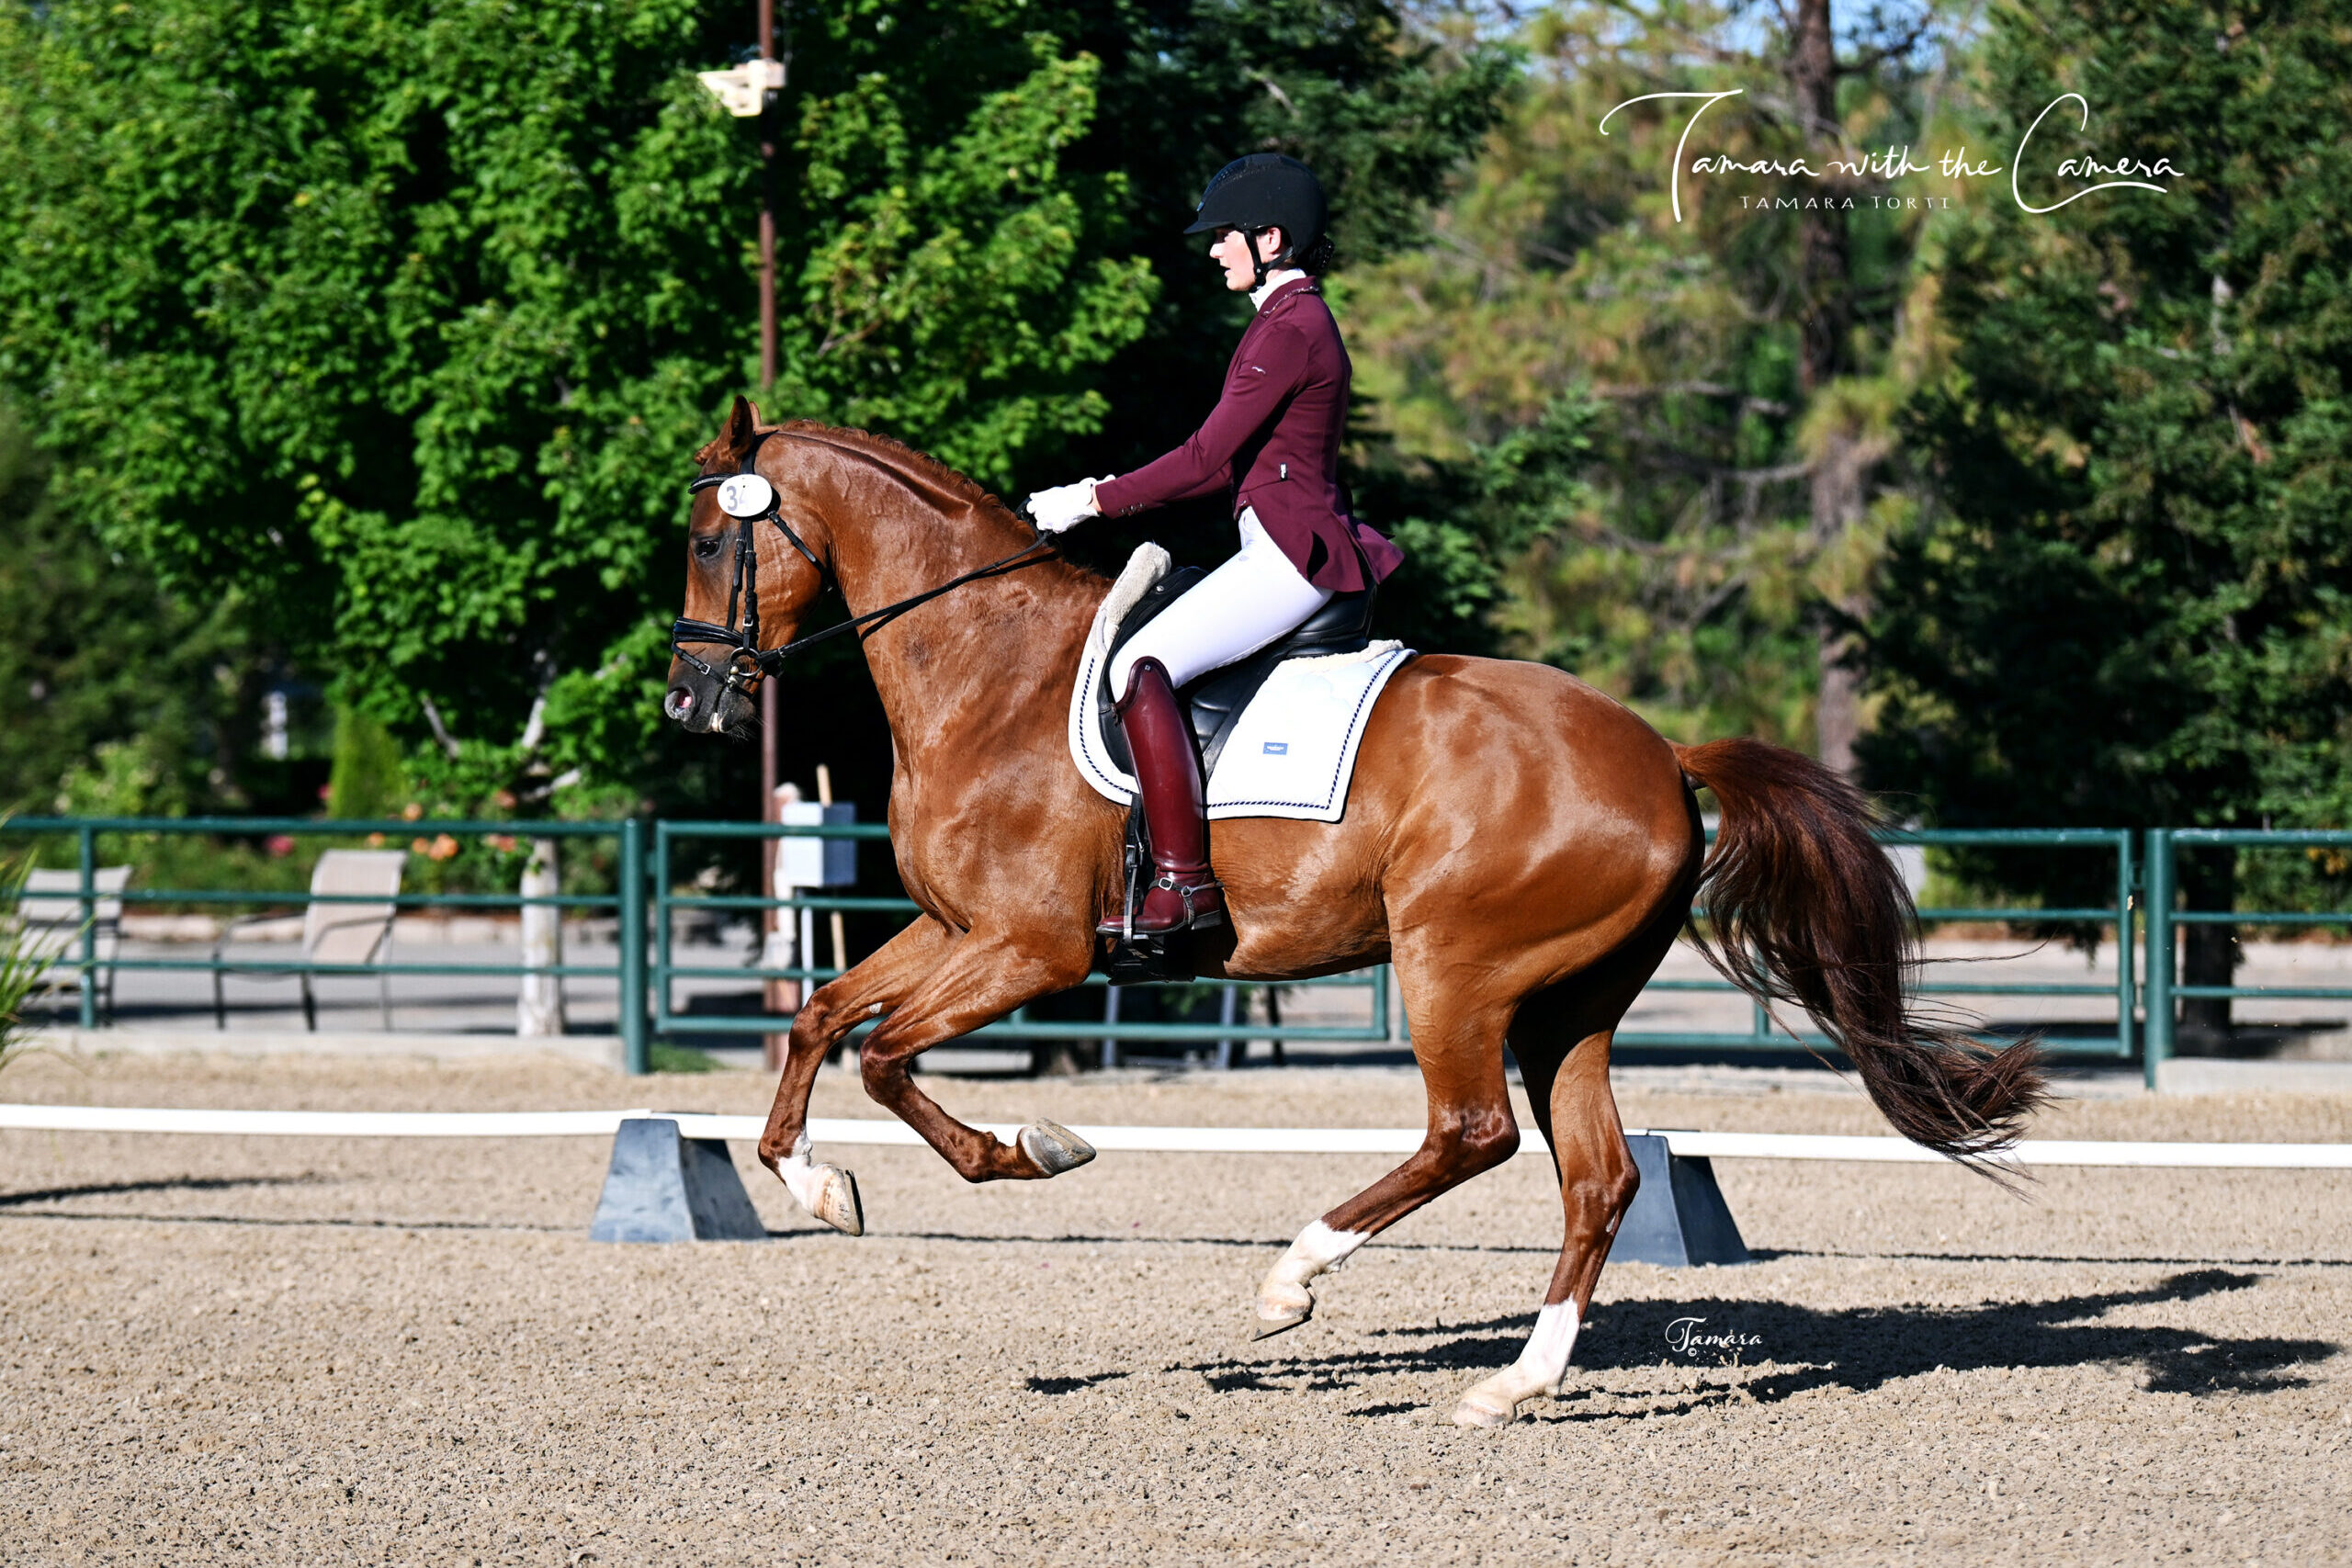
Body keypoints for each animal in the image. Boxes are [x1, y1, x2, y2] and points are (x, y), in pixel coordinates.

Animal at [662, 398, 2046, 1428]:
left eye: (711, 542)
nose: (691, 705)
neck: (987, 672)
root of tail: (1662, 751)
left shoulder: (1030, 949)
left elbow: (888, 1057)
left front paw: (1031, 1148)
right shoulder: (955, 931)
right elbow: (819, 1017)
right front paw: (814, 1184)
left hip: (1455, 967)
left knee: (1473, 1133)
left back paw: (1293, 1279)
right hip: (1568, 1002)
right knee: (1595, 1175)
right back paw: (1511, 1385)